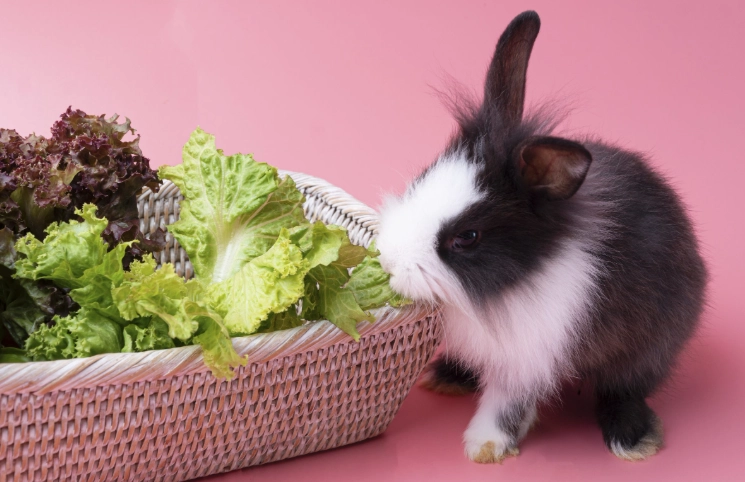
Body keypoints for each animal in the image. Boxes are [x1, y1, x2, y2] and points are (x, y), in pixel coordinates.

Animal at [375, 10, 707, 463]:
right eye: (421, 179)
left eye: (468, 237)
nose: (388, 261)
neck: (508, 285)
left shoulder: (529, 355)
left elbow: (507, 403)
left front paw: (484, 448)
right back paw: (446, 377)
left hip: (652, 347)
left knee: (625, 389)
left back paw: (632, 440)